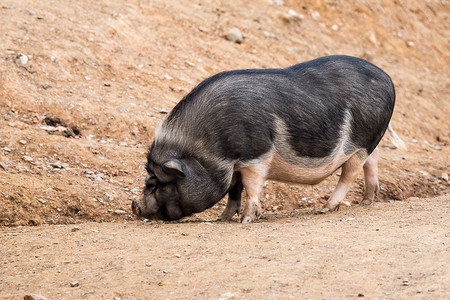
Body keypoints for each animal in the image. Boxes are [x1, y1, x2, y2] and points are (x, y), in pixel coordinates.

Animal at [131, 55, 404, 223]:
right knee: (372, 163)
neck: (208, 147)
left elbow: (251, 187)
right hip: (369, 145)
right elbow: (234, 190)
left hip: (360, 144)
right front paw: (223, 218)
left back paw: (325, 208)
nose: (137, 207)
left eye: (158, 183)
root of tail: (388, 78)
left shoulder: (255, 156)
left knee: (349, 174)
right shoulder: (235, 165)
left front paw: (247, 220)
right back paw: (366, 202)